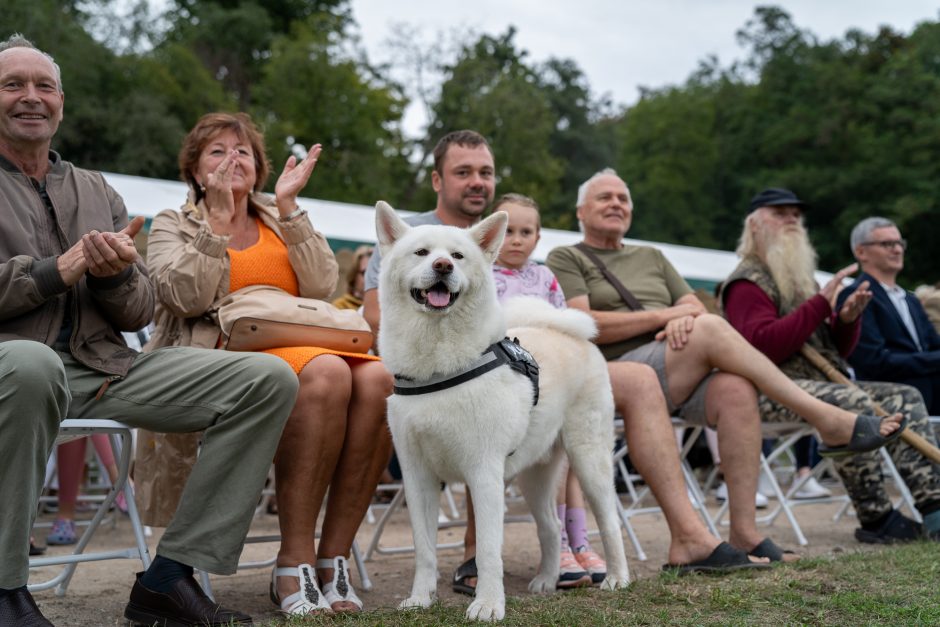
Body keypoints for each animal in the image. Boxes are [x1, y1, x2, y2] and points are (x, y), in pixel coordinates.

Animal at [370, 202, 628, 624]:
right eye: (421, 252)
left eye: (458, 256)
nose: (442, 266)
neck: (438, 366)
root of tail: (572, 333)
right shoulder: (418, 476)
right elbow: (424, 549)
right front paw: (421, 599)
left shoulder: (483, 471)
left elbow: (489, 550)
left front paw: (488, 605)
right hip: (535, 474)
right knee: (550, 526)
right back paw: (547, 580)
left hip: (590, 461)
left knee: (609, 521)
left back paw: (618, 578)